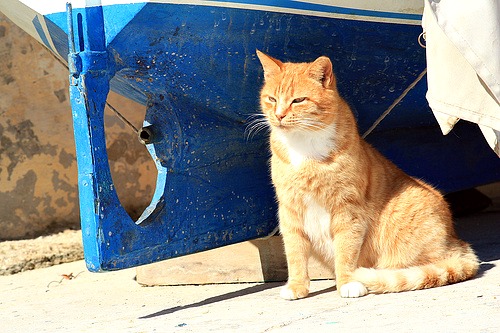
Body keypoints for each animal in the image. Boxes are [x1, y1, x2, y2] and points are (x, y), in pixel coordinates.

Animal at [256, 50, 478, 300]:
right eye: (272, 99)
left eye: (298, 100)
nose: (279, 115)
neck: (304, 146)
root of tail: (456, 241)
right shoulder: (290, 210)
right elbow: (294, 253)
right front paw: (296, 285)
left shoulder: (347, 210)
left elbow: (345, 250)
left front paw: (347, 282)